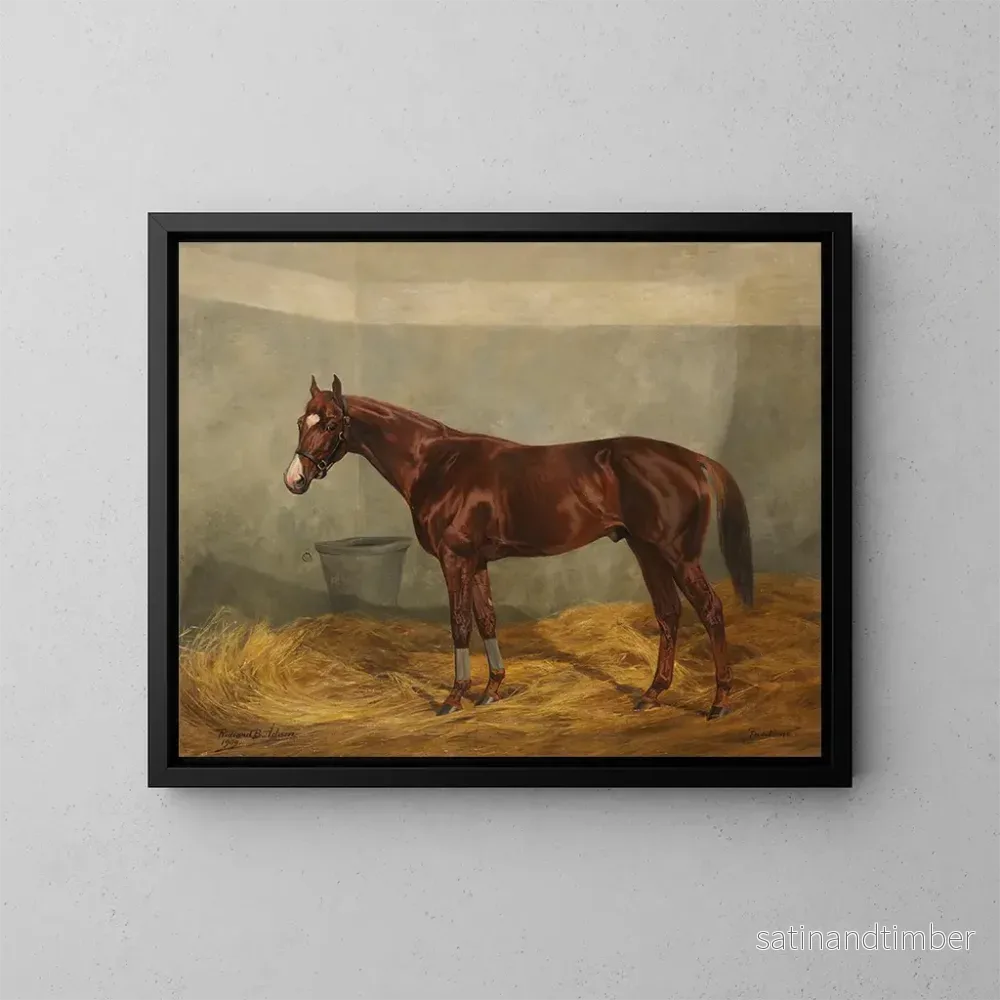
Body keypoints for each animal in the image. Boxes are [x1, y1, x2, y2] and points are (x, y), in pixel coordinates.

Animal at [284, 375, 754, 718]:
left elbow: (459, 623)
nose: (295, 479)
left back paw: (719, 702)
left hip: (677, 554)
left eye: (330, 424)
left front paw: (454, 697)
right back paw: (652, 693)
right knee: (669, 614)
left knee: (710, 610)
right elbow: (487, 619)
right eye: (301, 422)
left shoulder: (455, 559)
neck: (438, 464)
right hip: (647, 551)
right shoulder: (477, 562)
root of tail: (691, 458)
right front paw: (492, 689)